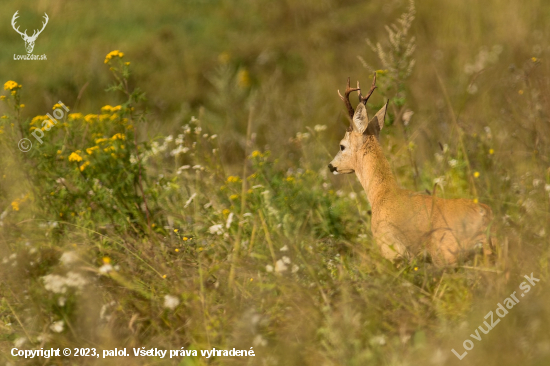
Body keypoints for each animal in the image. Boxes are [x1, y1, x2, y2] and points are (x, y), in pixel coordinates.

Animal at [330, 76, 498, 264]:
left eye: (342, 146)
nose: (331, 165)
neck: (382, 193)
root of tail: (485, 214)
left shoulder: (391, 249)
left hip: (447, 253)